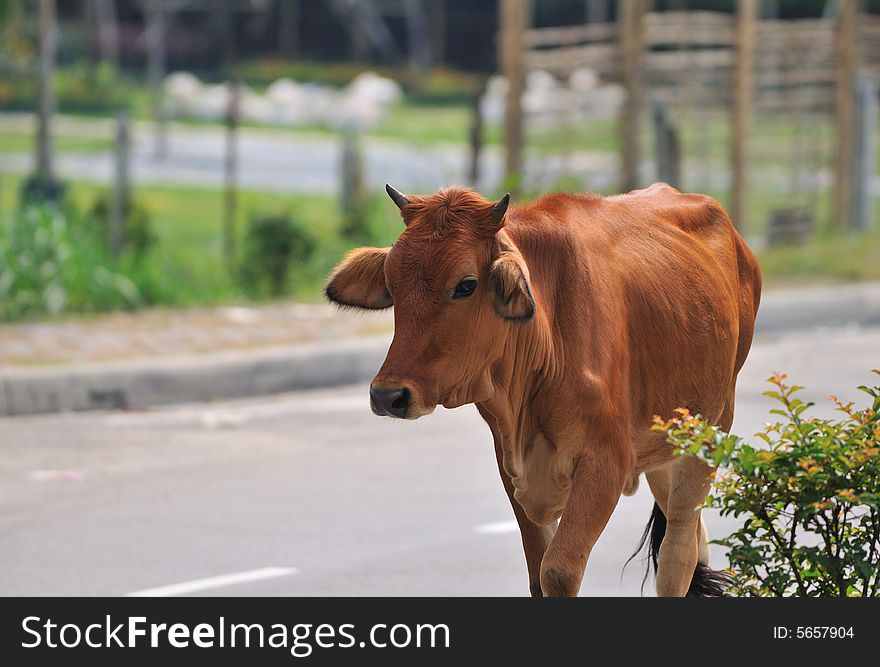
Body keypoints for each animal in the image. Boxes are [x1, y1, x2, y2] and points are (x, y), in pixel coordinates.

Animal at [326, 184, 760, 600]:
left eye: (466, 285)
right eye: (392, 283)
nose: (388, 395)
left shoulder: (606, 463)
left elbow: (558, 572)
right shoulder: (510, 464)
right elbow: (537, 574)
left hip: (711, 429)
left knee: (677, 551)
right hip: (663, 448)